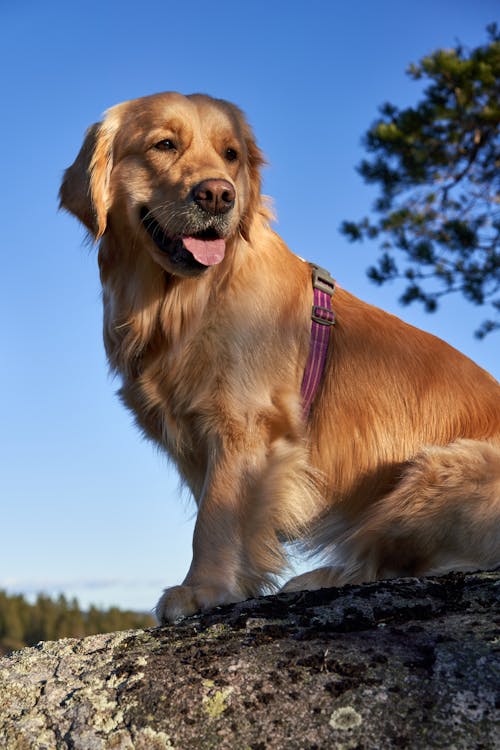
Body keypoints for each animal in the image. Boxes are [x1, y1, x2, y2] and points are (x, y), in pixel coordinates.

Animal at [59, 92, 500, 624]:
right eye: (164, 145)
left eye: (230, 154)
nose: (218, 195)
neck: (185, 301)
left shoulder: (245, 424)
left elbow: (214, 516)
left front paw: (202, 588)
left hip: (439, 470)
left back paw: (318, 578)